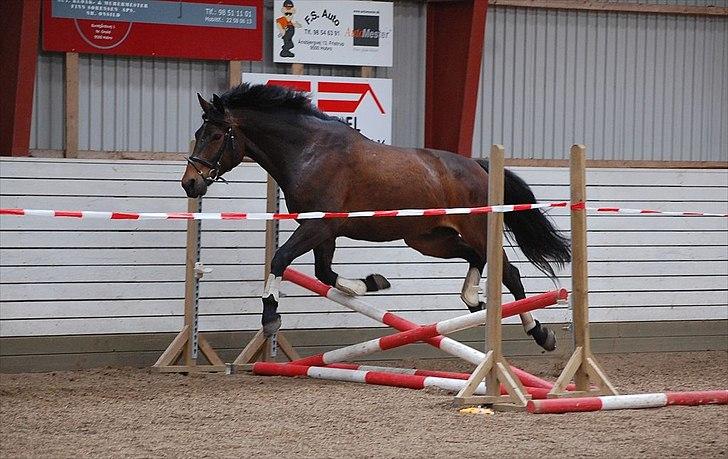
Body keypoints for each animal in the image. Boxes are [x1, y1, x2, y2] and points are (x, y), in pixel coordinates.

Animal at [181, 84, 568, 352]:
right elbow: (325, 274)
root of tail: (479, 167)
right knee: (476, 258)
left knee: (509, 272)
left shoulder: (319, 225)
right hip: (428, 238)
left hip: (475, 228)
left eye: (216, 135)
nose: (190, 183)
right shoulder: (324, 231)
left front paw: (271, 317)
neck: (308, 151)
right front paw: (371, 283)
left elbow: (280, 259)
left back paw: (539, 332)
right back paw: (474, 301)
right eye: (198, 134)